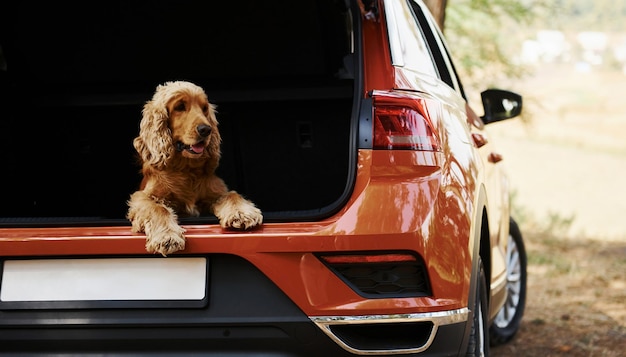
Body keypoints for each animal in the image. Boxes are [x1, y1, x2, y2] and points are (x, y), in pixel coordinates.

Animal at [125, 80, 262, 256]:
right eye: (180, 107)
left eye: (204, 108)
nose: (206, 129)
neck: (185, 169)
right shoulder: (141, 197)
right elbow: (158, 208)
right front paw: (167, 237)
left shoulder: (216, 192)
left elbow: (232, 195)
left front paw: (242, 213)